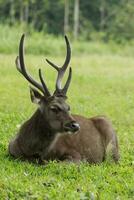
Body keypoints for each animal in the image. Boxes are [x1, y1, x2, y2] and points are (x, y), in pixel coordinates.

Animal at [8, 33, 119, 163]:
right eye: (54, 108)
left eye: (68, 107)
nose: (75, 125)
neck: (30, 151)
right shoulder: (11, 149)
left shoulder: (76, 155)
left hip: (112, 146)